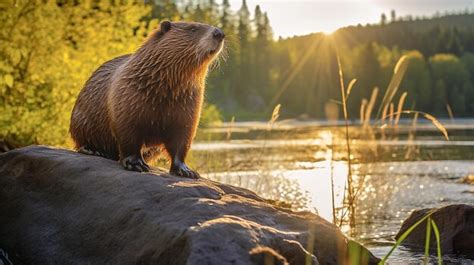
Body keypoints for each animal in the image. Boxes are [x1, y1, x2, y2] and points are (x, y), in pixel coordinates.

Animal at [70, 20, 226, 177]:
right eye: (193, 28)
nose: (219, 33)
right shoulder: (125, 99)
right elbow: (128, 136)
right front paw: (136, 164)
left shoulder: (189, 109)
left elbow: (182, 141)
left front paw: (187, 171)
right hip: (80, 119)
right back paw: (94, 150)